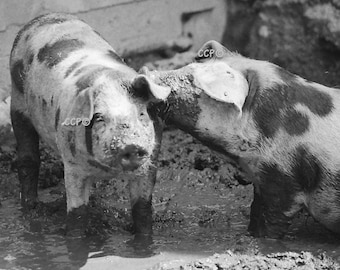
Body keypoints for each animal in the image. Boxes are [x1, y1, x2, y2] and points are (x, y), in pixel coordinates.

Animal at [9, 13, 170, 235]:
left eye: (141, 114)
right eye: (99, 118)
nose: (129, 145)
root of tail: (42, 18)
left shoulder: (150, 162)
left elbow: (143, 210)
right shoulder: (73, 166)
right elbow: (77, 215)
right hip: (17, 103)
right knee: (28, 159)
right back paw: (31, 209)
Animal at [141, 40, 340, 238]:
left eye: (190, 81)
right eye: (187, 67)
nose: (143, 72)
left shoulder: (285, 179)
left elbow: (274, 221)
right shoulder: (260, 178)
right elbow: (255, 210)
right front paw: (249, 234)